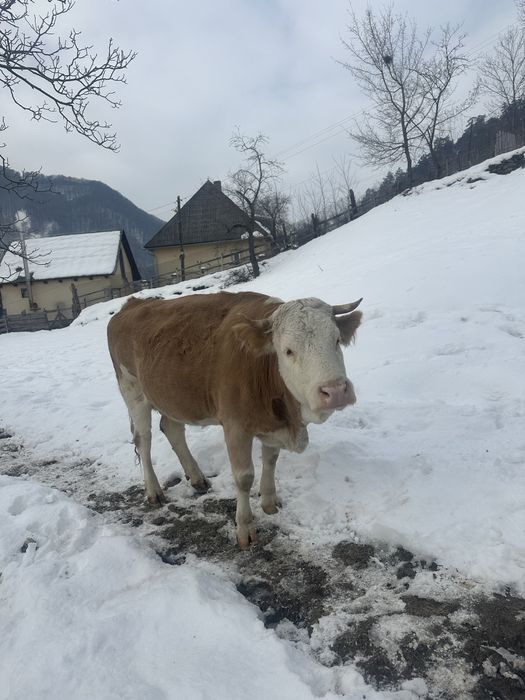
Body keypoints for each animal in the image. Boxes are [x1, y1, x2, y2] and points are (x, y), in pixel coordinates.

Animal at [107, 291, 362, 548]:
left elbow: (271, 460)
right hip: (133, 391)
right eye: (288, 351)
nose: (335, 391)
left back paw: (197, 478)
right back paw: (154, 491)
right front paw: (244, 527)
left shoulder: (272, 424)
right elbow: (244, 477)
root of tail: (132, 303)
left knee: (172, 428)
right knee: (143, 440)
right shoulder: (235, 426)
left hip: (170, 397)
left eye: (336, 340)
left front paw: (269, 501)